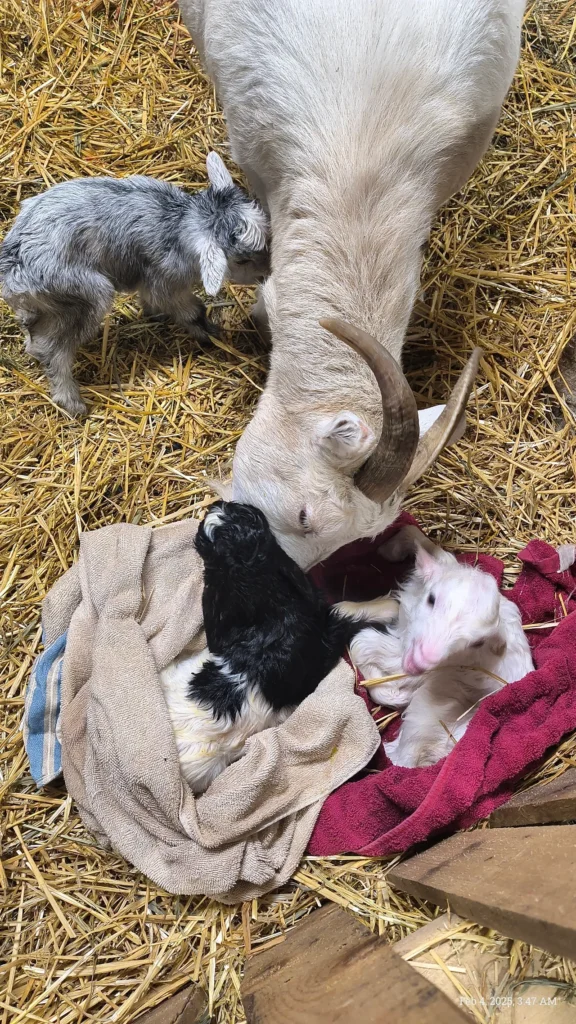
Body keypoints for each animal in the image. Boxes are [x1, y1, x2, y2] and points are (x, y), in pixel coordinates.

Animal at [0, 152, 269, 415]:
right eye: (242, 259)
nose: (266, 274)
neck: (179, 225)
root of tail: (14, 262)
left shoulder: (150, 279)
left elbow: (148, 298)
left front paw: (154, 314)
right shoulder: (167, 284)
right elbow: (193, 312)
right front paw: (210, 334)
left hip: (47, 303)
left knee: (34, 332)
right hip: (87, 294)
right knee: (53, 350)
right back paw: (72, 402)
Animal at [348, 526, 533, 767]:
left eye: (476, 642)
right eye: (431, 599)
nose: (419, 663)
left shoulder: (409, 662)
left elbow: (362, 643)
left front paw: (393, 695)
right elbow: (419, 537)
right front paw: (388, 550)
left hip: (430, 711)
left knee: (404, 759)